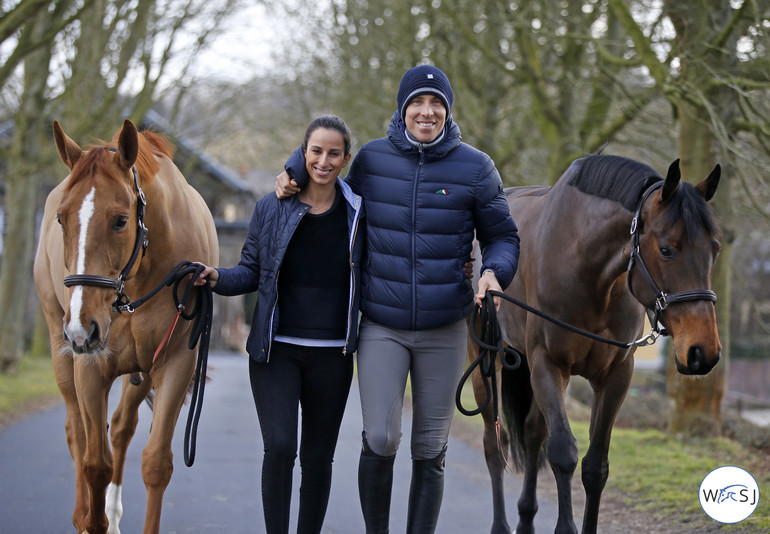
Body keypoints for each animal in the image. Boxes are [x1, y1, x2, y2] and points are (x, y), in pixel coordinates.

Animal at [32, 121, 218, 534]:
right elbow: (94, 464)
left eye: (120, 220)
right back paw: (81, 514)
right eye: (61, 219)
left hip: (139, 372)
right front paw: (91, 519)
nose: (82, 327)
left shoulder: (173, 364)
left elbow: (156, 463)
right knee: (77, 433)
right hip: (61, 351)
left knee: (120, 427)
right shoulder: (90, 366)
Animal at [468, 153, 720, 532]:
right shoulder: (548, 364)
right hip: (486, 361)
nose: (703, 351)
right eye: (666, 250)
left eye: (715, 248)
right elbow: (563, 453)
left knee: (532, 433)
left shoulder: (616, 374)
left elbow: (595, 466)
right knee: (494, 442)